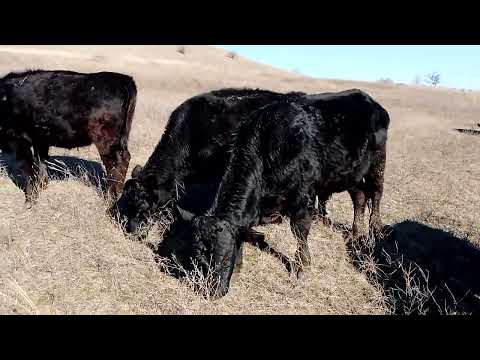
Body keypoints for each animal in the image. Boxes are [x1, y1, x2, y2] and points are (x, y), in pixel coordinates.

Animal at [0, 69, 137, 204]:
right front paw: (42, 186)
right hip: (122, 137)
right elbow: (41, 162)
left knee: (116, 162)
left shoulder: (19, 140)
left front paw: (30, 200)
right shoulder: (40, 139)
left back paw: (111, 198)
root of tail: (123, 79)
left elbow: (28, 169)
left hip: (106, 139)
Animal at [161, 89, 390, 298]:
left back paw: (375, 230)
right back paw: (356, 232)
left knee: (376, 194)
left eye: (225, 256)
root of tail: (368, 98)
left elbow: (300, 232)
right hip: (351, 173)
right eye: (199, 258)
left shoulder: (304, 197)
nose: (213, 292)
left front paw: (301, 268)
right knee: (359, 196)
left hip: (378, 162)